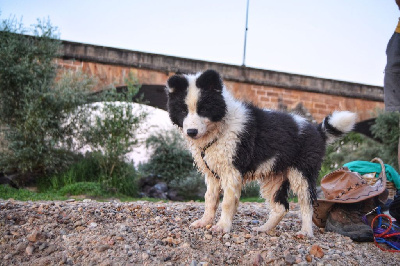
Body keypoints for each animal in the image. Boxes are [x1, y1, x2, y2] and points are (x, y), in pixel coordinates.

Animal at [166, 69, 356, 236]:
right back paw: (264, 229)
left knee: (307, 203)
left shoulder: (232, 171)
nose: (191, 132)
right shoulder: (212, 173)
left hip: (301, 173)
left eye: (203, 109)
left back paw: (306, 232)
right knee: (281, 207)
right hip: (274, 177)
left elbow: (227, 202)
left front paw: (222, 227)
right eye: (183, 111)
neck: (222, 126)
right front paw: (205, 222)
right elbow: (210, 199)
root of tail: (317, 131)